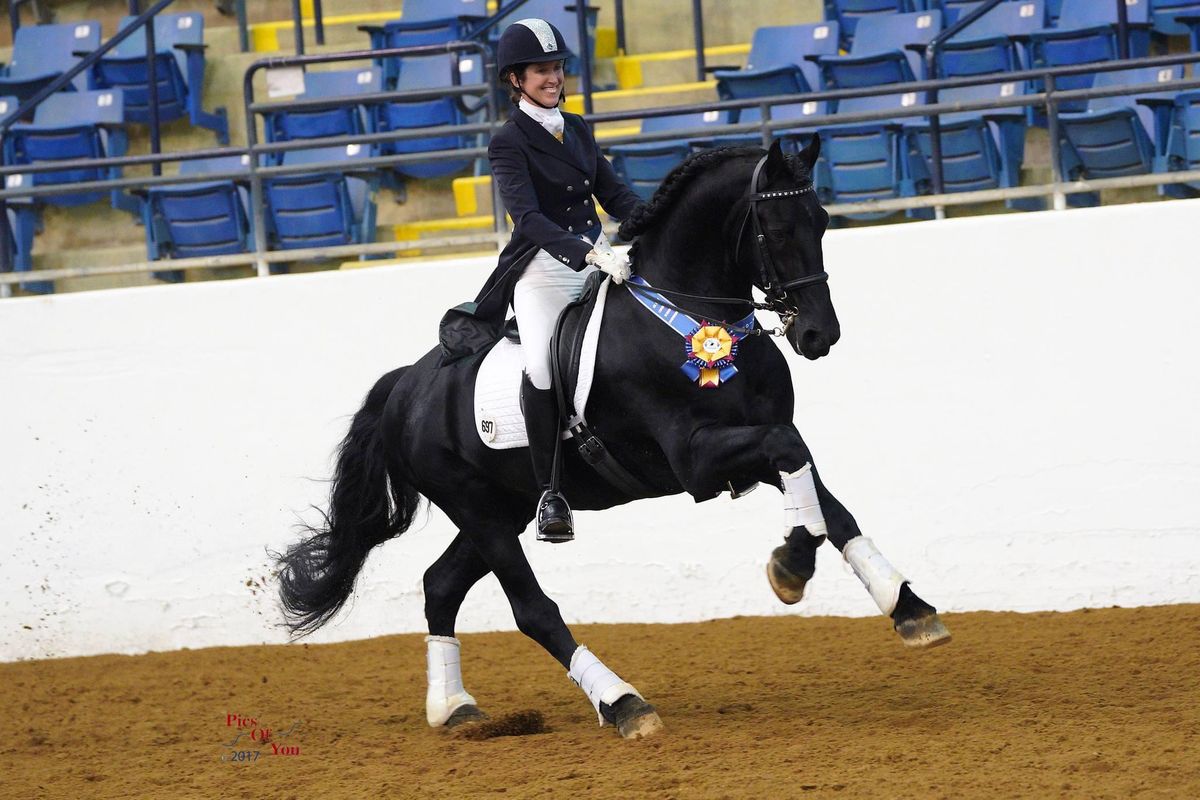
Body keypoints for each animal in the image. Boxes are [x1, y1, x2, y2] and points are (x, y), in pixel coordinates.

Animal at [276, 139, 950, 743]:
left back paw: (455, 709)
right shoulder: (695, 456)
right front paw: (791, 567)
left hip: (502, 507)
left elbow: (822, 495)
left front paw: (906, 607)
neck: (687, 309)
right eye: (777, 229)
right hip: (480, 510)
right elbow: (790, 453)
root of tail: (406, 387)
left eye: (823, 221)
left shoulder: (752, 441)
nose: (818, 334)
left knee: (440, 586)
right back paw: (624, 704)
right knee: (532, 610)